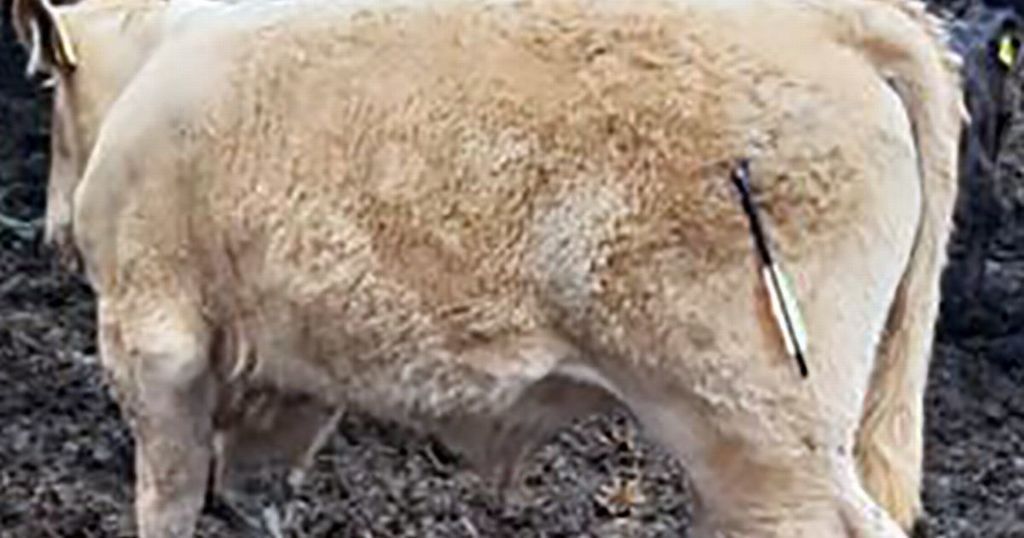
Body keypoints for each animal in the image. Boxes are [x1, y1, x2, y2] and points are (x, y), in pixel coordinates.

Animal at [12, 0, 966, 536]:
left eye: (48, 90)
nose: (52, 229)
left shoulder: (152, 336)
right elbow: (255, 493)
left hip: (761, 424)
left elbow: (167, 497)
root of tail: (833, 19)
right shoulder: (293, 365)